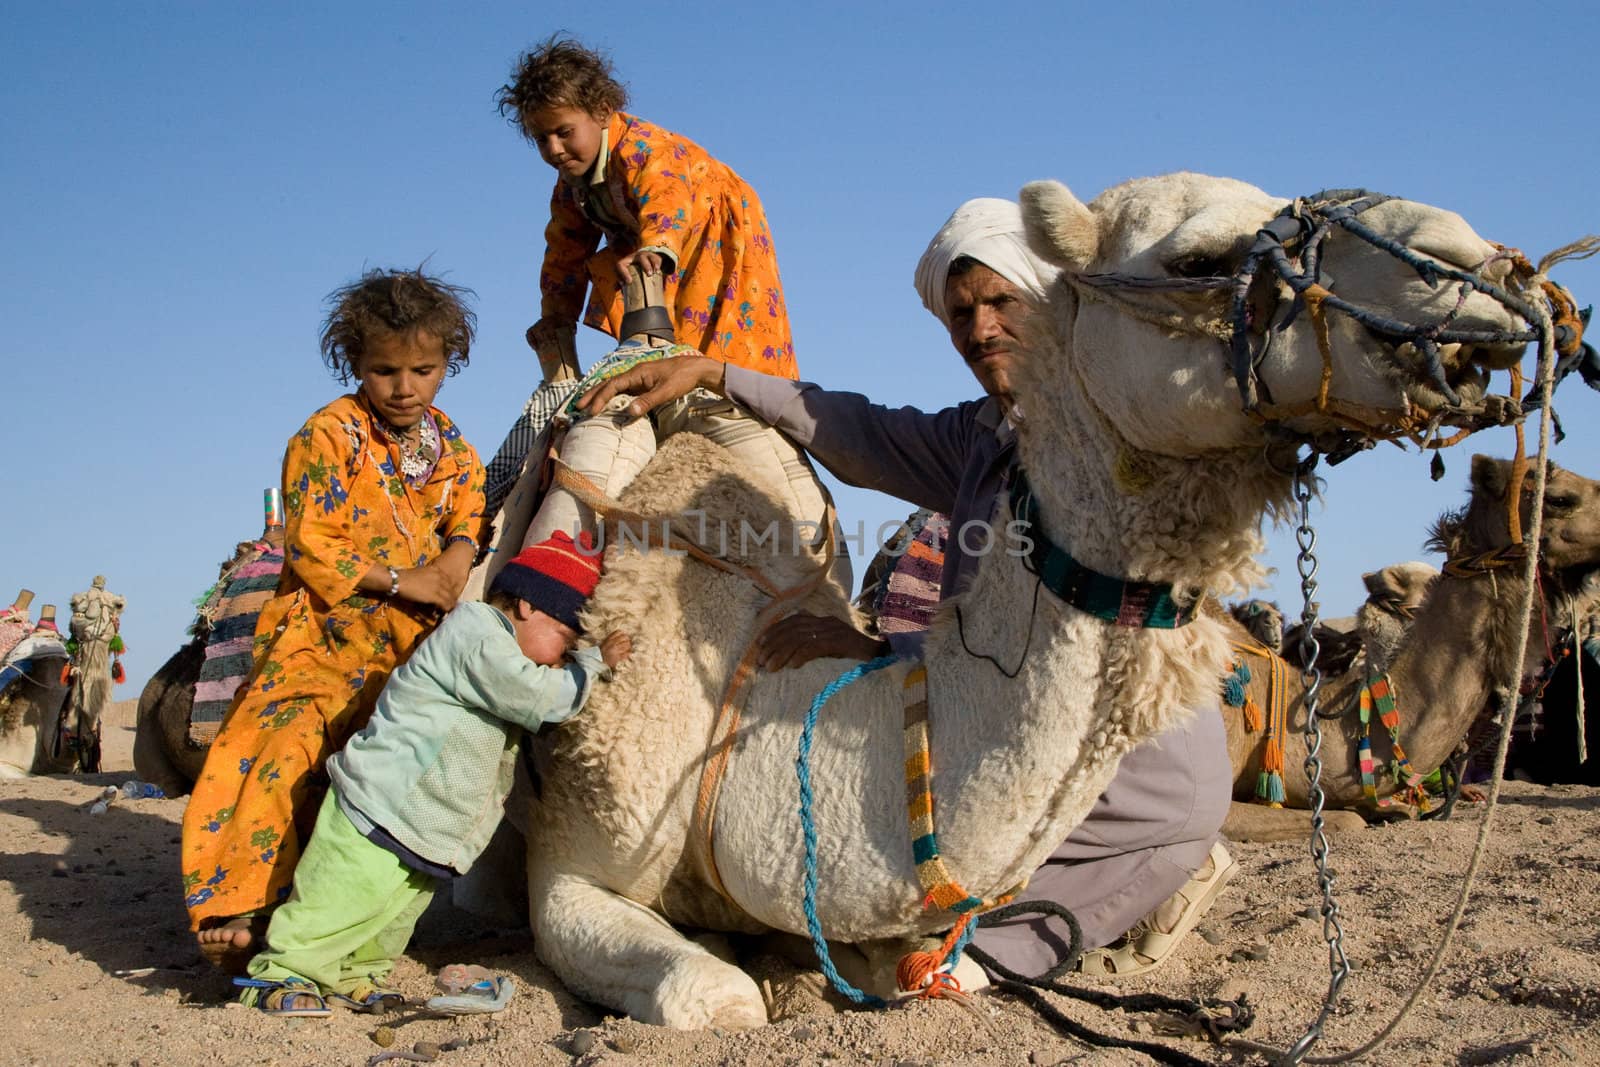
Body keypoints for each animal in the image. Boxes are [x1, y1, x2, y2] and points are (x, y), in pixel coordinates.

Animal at [515, 173, 1574, 1023]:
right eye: (1200, 256)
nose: (1474, 266)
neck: (744, 709)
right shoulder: (572, 855)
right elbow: (715, 995)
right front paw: (762, 971)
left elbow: (922, 964)